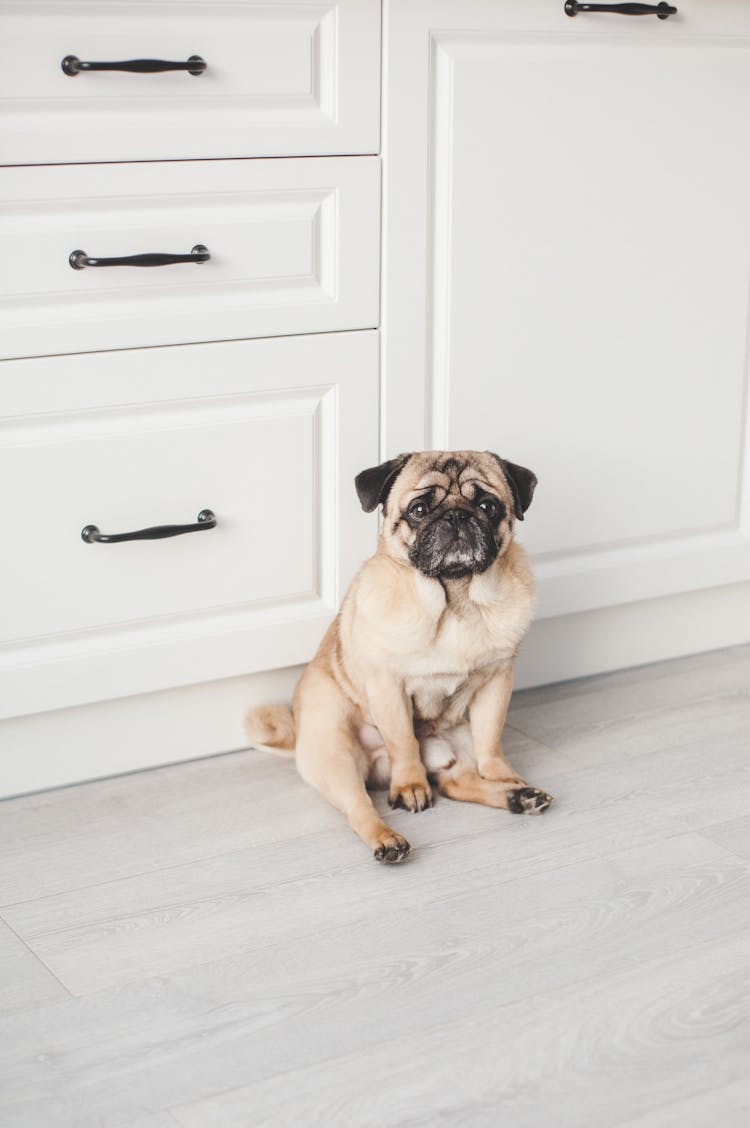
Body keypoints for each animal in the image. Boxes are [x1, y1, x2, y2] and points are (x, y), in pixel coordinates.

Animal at [242, 448, 552, 861]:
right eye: (419, 509)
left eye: (488, 506)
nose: (457, 516)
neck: (455, 599)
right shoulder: (388, 687)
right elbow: (403, 740)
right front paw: (410, 786)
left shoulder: (497, 684)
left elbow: (492, 739)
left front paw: (503, 775)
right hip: (336, 756)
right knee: (360, 807)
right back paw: (388, 839)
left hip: (458, 742)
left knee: (457, 782)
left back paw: (519, 796)